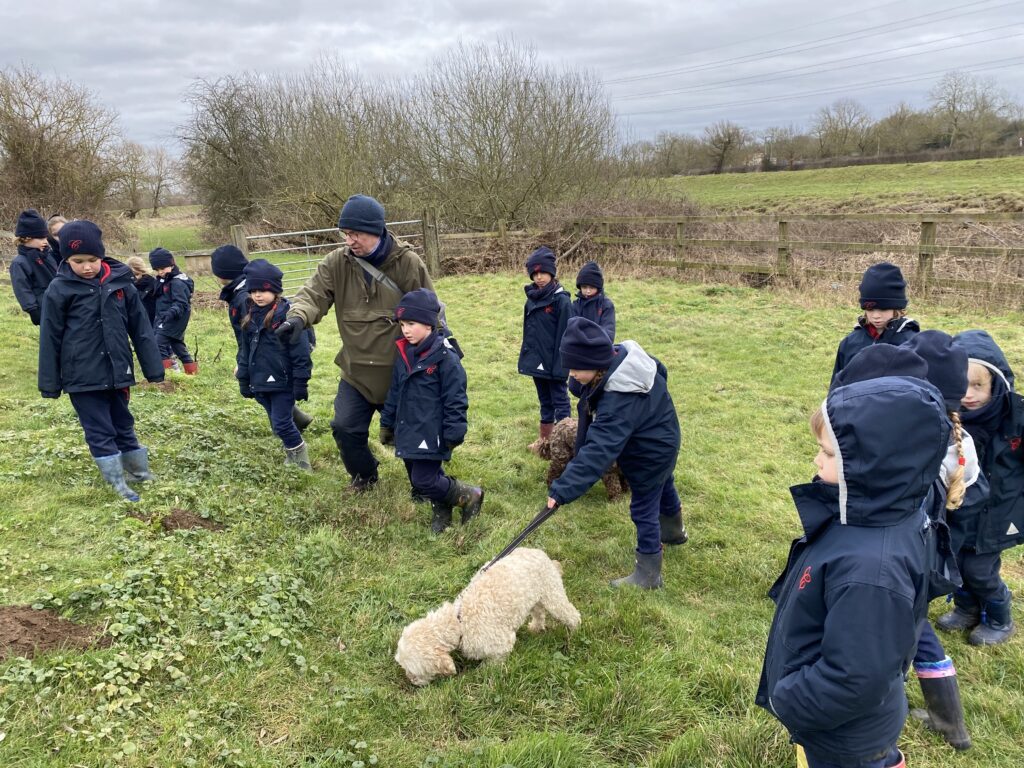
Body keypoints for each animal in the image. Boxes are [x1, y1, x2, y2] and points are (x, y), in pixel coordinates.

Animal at [393, 548, 581, 688]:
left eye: (414, 671)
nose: (412, 681)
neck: (459, 621)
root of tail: (540, 552)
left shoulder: (501, 645)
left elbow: (493, 665)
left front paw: (486, 675)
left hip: (553, 594)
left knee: (571, 614)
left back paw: (574, 633)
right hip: (535, 597)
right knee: (539, 613)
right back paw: (536, 628)